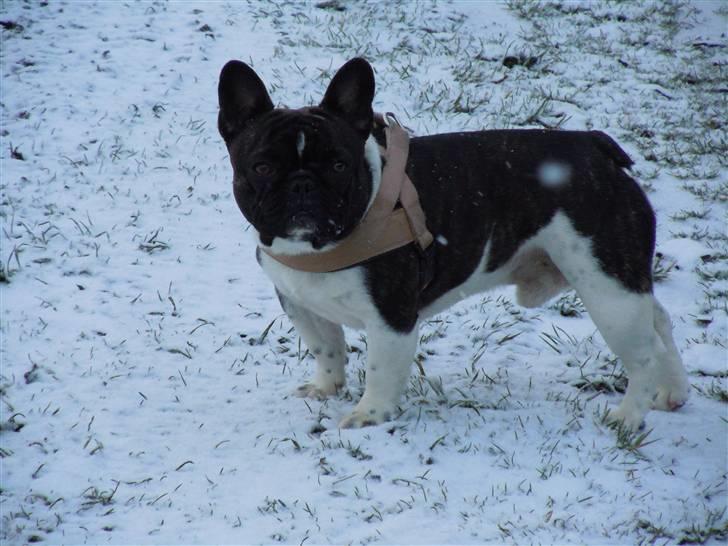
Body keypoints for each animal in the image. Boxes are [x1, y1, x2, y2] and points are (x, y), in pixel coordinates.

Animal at [215, 56, 688, 430]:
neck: (323, 247)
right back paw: (672, 391)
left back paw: (627, 417)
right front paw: (325, 388)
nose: (302, 185)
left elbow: (381, 369)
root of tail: (594, 146)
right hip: (619, 281)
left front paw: (369, 415)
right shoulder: (301, 303)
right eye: (261, 167)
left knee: (643, 351)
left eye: (338, 165)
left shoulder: (391, 319)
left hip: (607, 289)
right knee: (660, 321)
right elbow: (326, 348)